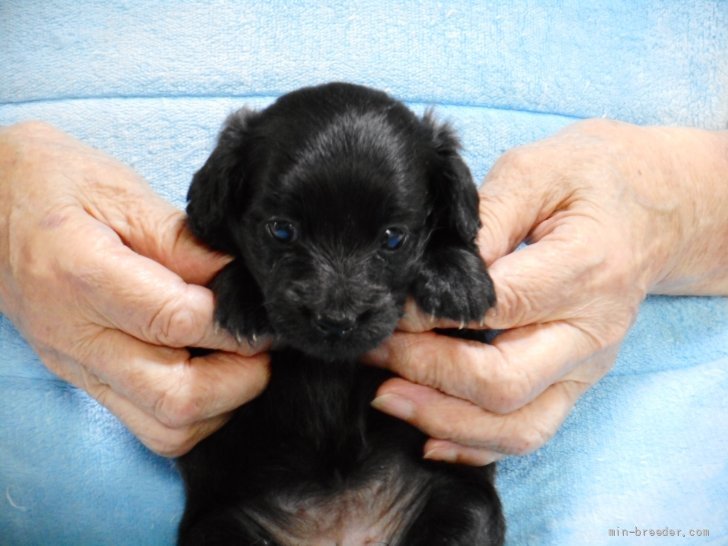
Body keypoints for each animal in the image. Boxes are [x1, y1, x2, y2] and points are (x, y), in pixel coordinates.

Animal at [179, 82, 504, 544]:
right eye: (281, 230)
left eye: (393, 238)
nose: (337, 321)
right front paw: (243, 296)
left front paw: (456, 275)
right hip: (218, 528)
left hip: (466, 507)